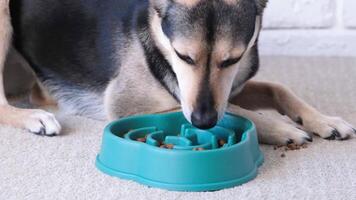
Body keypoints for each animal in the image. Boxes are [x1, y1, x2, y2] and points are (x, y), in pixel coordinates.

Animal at [0, 0, 354, 144]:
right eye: (184, 56)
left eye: (232, 60)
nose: (202, 121)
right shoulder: (128, 103)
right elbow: (237, 111)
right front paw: (282, 129)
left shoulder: (233, 85)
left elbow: (277, 88)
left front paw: (325, 120)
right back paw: (34, 117)